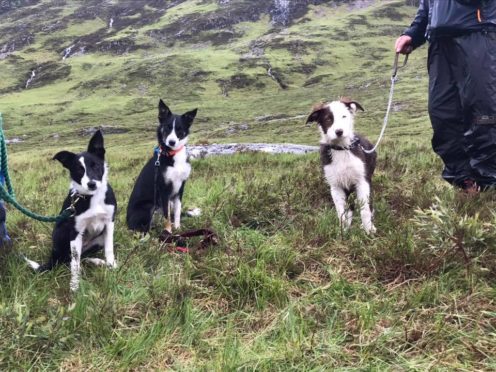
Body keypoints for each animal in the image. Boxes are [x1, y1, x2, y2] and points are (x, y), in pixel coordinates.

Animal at [23, 130, 116, 290]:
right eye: (79, 169)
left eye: (96, 165)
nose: (91, 184)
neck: (92, 197)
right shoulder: (75, 232)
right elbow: (75, 264)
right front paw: (75, 285)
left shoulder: (109, 223)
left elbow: (109, 249)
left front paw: (111, 266)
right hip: (61, 231)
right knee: (68, 260)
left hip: (98, 240)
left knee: (82, 257)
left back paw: (97, 261)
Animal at [127, 99, 197, 232]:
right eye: (167, 127)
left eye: (179, 129)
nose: (171, 142)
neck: (172, 154)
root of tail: (127, 222)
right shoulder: (164, 190)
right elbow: (167, 215)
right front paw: (168, 232)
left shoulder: (180, 188)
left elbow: (177, 212)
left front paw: (178, 228)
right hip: (149, 206)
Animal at [304, 97, 378, 234]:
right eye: (328, 119)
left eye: (344, 116)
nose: (339, 132)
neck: (341, 149)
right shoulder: (335, 186)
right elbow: (341, 212)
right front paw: (343, 231)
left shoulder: (362, 182)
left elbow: (364, 210)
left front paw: (368, 231)